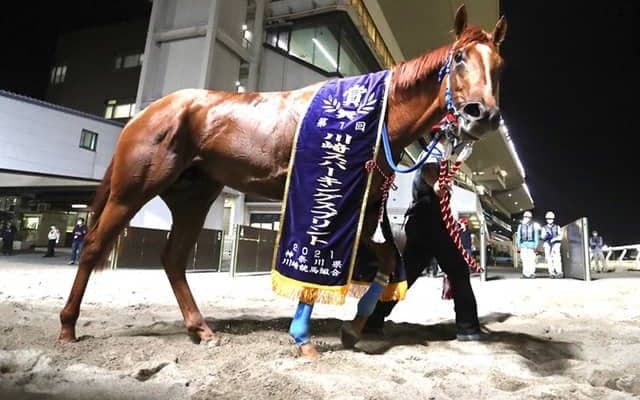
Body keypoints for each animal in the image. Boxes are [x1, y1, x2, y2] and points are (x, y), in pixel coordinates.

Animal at [58, 4, 507, 358]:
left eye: (498, 65)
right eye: (460, 57)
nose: (481, 114)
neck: (370, 117)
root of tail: (143, 113)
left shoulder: (361, 209)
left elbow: (386, 260)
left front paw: (353, 327)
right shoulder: (328, 197)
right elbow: (322, 258)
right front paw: (305, 338)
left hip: (194, 196)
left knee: (173, 258)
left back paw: (201, 329)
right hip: (132, 189)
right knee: (94, 245)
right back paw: (67, 326)